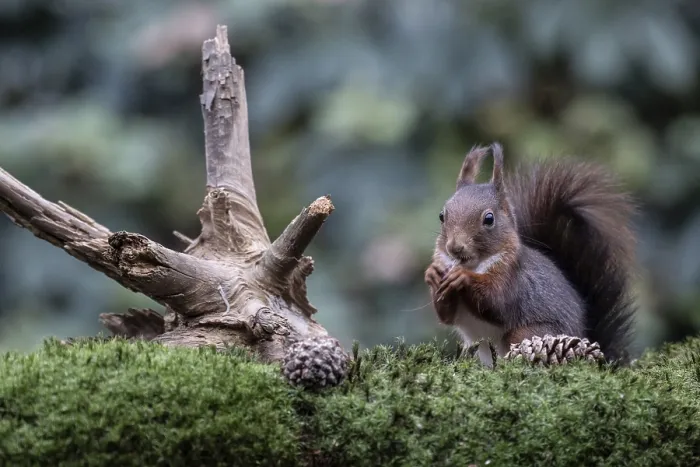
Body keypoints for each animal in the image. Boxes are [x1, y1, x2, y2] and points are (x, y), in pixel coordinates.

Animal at [424, 143, 637, 366]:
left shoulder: (512, 278)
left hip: (529, 333)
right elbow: (447, 316)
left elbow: (497, 303)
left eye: (489, 219)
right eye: (442, 216)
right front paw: (432, 274)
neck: (475, 264)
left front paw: (463, 277)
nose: (455, 247)